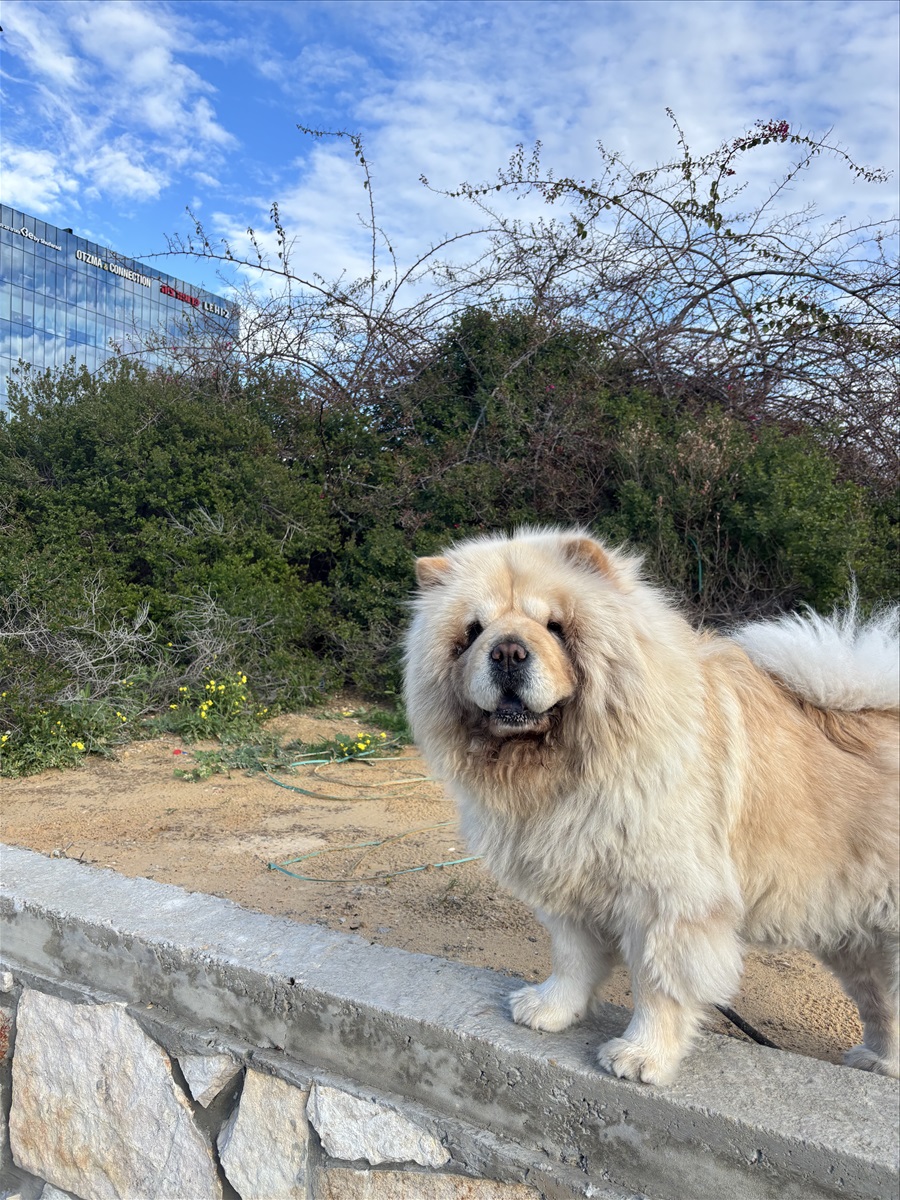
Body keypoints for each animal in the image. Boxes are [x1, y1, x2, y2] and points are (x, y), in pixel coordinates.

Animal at [405, 530, 897, 1084]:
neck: (565, 771)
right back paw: (878, 1061)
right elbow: (572, 958)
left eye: (556, 627)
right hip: (853, 935)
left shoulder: (667, 900)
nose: (508, 651)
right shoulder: (567, 882)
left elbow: (659, 983)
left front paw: (642, 1055)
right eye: (473, 631)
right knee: (882, 1003)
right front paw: (551, 1009)